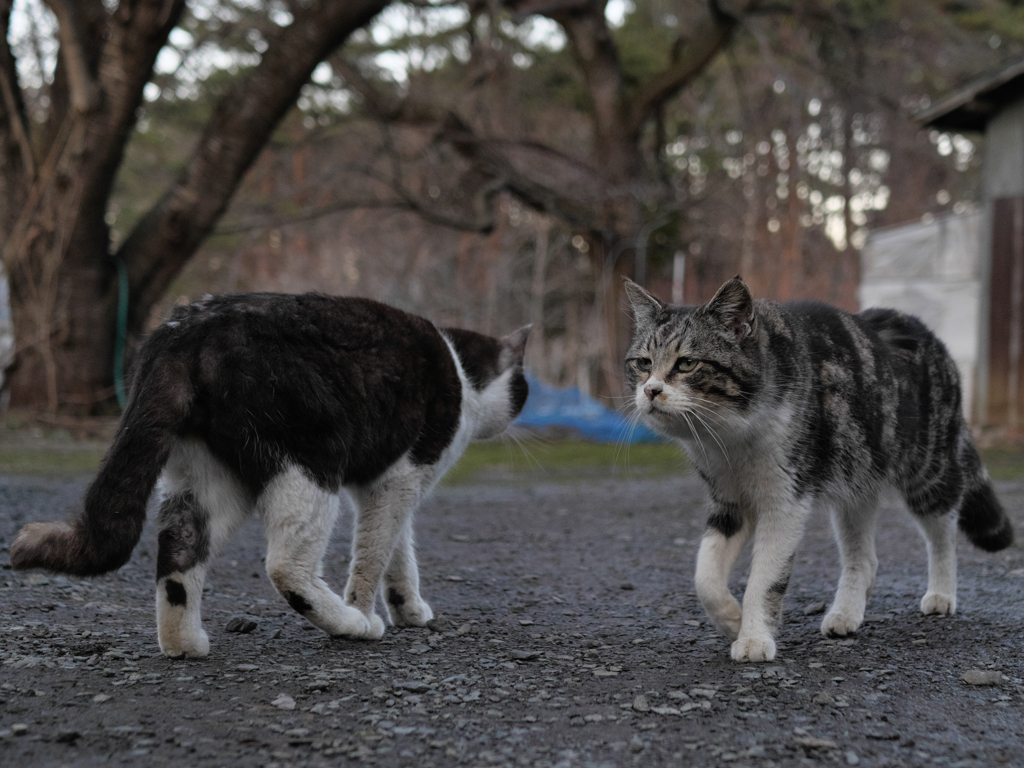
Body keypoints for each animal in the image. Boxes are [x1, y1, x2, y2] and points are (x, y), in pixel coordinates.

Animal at [9, 294, 528, 663]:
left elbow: (397, 553)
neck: (462, 372)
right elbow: (373, 557)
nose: (521, 412)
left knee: (178, 550)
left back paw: (184, 644)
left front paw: (408, 609)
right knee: (285, 566)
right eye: (523, 385)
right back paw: (350, 625)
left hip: (210, 481)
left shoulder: (383, 487)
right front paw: (367, 610)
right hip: (310, 464)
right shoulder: (400, 478)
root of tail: (183, 332)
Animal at [618, 276, 1011, 663]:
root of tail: (919, 325)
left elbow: (764, 578)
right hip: (855, 482)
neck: (729, 438)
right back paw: (845, 615)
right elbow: (705, 576)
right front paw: (732, 620)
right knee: (864, 558)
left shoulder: (786, 498)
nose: (651, 390)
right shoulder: (728, 501)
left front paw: (754, 638)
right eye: (643, 363)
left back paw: (942, 595)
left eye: (686, 364)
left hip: (928, 471)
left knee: (943, 533)